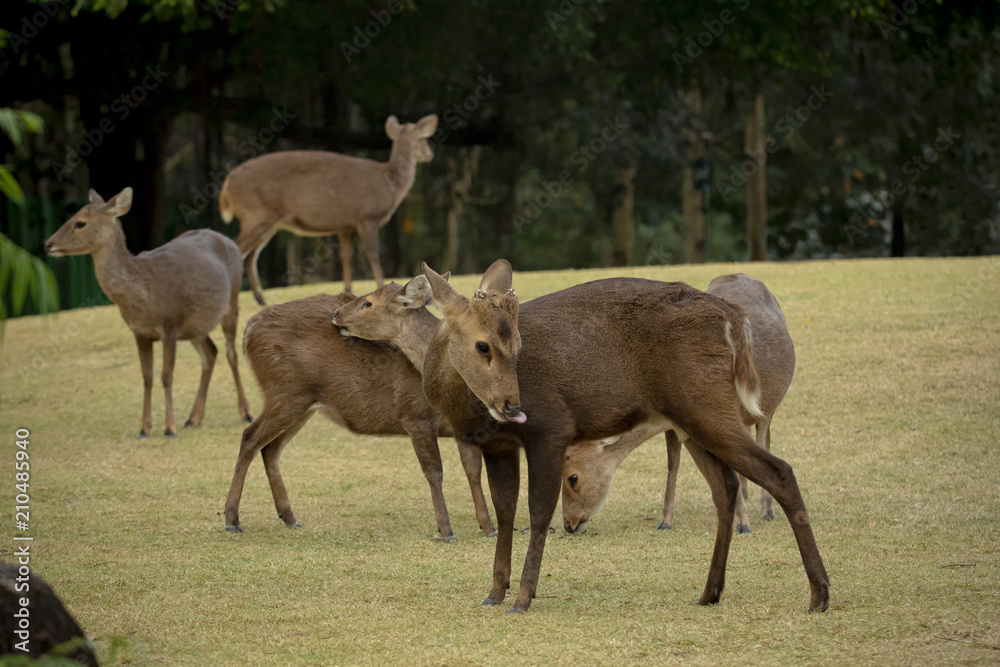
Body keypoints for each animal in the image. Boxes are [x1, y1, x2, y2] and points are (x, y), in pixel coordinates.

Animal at [46, 188, 254, 438]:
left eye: (80, 223)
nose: (48, 244)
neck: (143, 296)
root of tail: (229, 241)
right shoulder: (140, 332)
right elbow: (147, 377)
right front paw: (144, 428)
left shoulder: (170, 324)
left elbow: (166, 376)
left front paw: (169, 428)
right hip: (196, 325)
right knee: (210, 352)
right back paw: (193, 418)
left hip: (232, 301)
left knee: (231, 353)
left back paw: (246, 413)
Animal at [219, 114, 438, 306]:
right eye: (422, 138)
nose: (430, 153)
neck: (390, 184)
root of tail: (227, 186)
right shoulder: (368, 216)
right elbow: (373, 253)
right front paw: (382, 286)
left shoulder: (346, 225)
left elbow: (346, 256)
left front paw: (349, 292)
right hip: (256, 214)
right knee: (237, 250)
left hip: (267, 220)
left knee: (250, 257)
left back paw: (261, 300)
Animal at [223, 278, 496, 544]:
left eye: (368, 303)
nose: (336, 313)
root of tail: (248, 331)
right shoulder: (414, 415)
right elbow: (435, 472)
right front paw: (446, 531)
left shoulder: (464, 426)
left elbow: (473, 471)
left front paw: (488, 527)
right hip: (285, 393)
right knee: (249, 437)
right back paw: (232, 520)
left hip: (302, 403)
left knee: (270, 449)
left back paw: (289, 517)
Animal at [564, 272, 796, 532]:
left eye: (572, 477)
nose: (568, 524)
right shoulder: (676, 425)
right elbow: (672, 463)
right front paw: (665, 521)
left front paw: (744, 523)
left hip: (766, 406)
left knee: (764, 438)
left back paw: (767, 511)